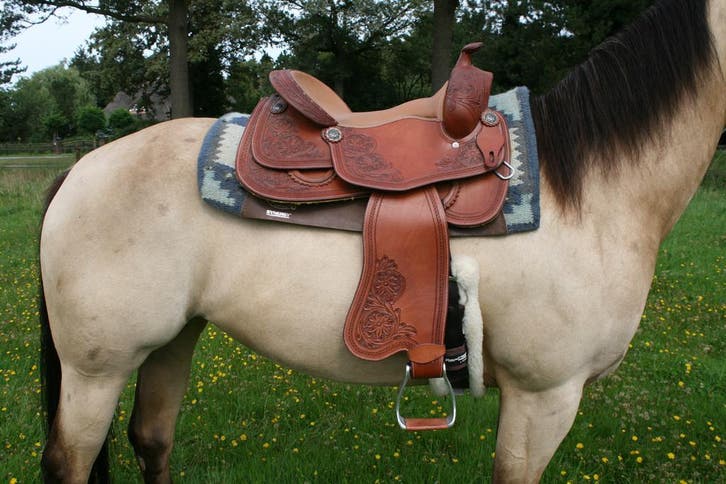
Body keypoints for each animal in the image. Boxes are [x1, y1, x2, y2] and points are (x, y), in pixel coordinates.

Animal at [39, 0, 725, 482]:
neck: (582, 188)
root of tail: (82, 167)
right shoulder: (544, 399)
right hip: (96, 368)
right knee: (71, 460)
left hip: (172, 340)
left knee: (152, 441)